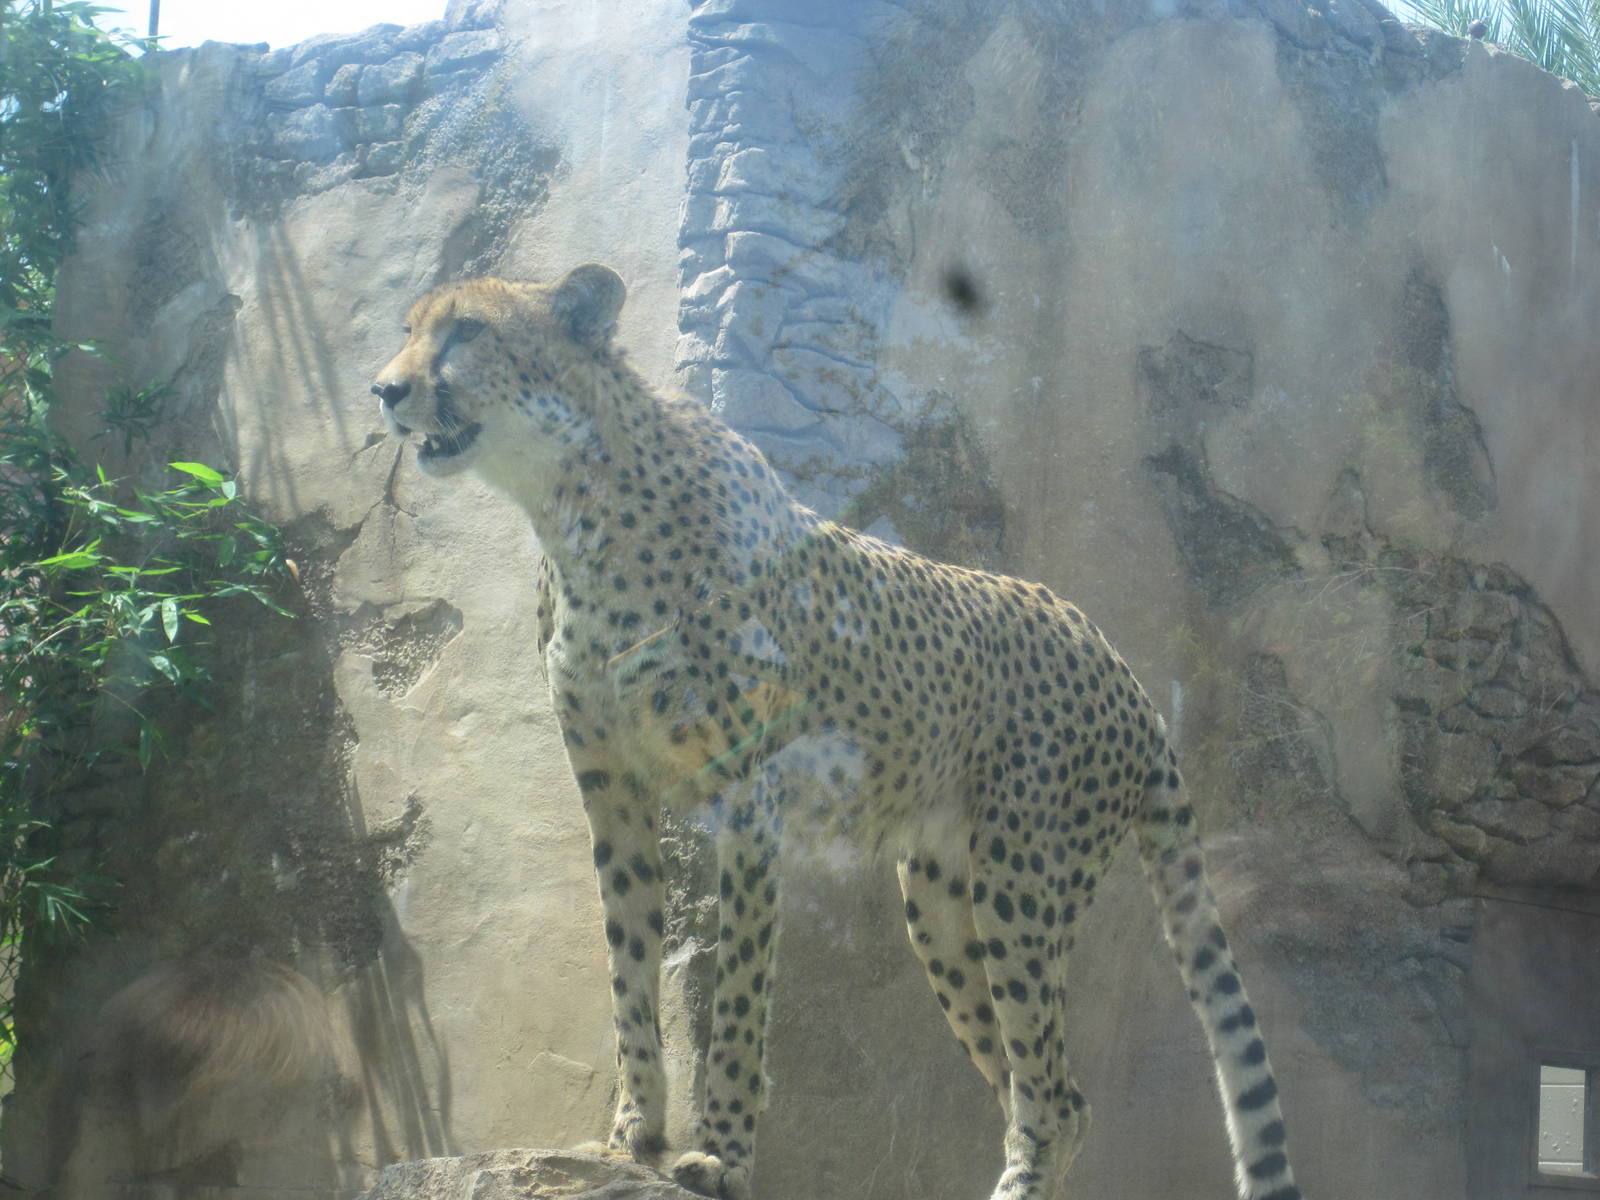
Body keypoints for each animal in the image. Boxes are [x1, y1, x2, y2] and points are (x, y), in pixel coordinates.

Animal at [371, 263, 1301, 1200]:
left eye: (468, 333)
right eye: (410, 329)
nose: (384, 388)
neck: (572, 503)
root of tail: (1117, 658)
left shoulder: (751, 793)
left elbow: (739, 993)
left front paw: (723, 1155)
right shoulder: (614, 789)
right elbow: (627, 962)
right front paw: (634, 1132)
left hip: (1023, 880)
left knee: (1053, 1097)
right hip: (941, 900)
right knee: (1036, 1090)